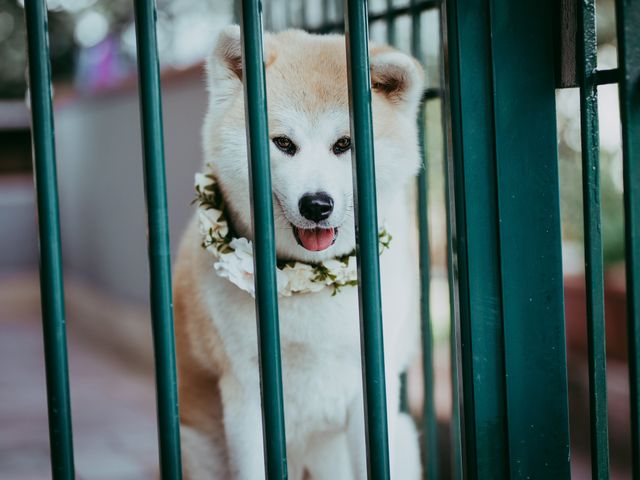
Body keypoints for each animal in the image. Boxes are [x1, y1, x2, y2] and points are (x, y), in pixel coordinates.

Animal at [174, 26, 424, 480]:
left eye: (344, 143)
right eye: (283, 143)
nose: (316, 204)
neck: (312, 279)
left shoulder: (372, 393)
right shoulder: (246, 395)